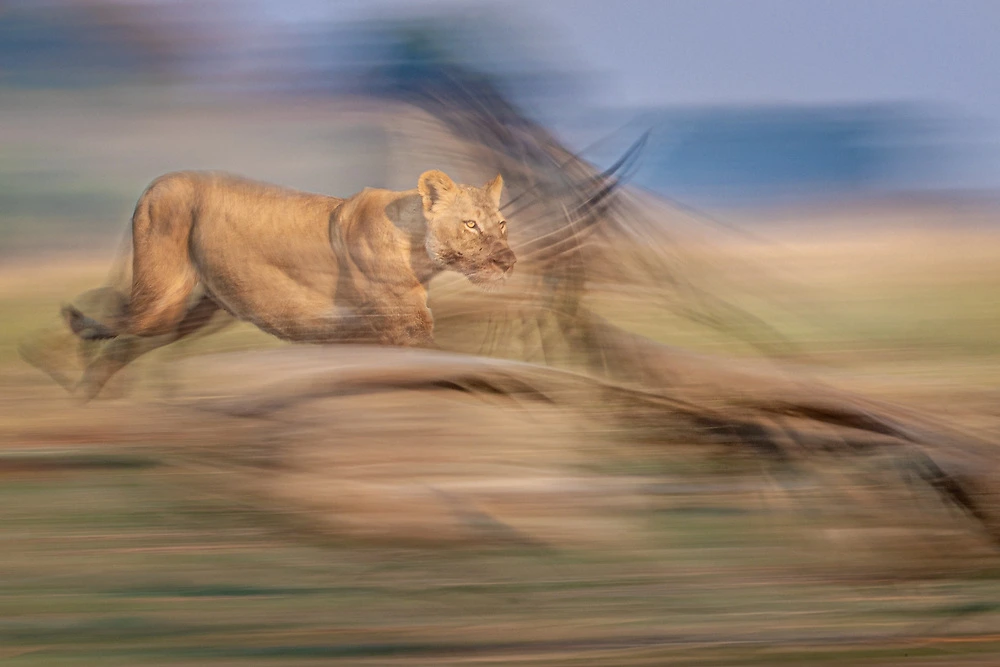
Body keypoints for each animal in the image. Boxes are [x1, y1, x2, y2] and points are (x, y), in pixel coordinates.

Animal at [48, 170, 516, 400]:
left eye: (501, 224)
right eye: (471, 225)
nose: (509, 262)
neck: (417, 246)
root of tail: (157, 182)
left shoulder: (379, 337)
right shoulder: (409, 328)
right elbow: (461, 365)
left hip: (196, 312)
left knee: (121, 341)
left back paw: (87, 400)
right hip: (162, 299)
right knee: (108, 319)